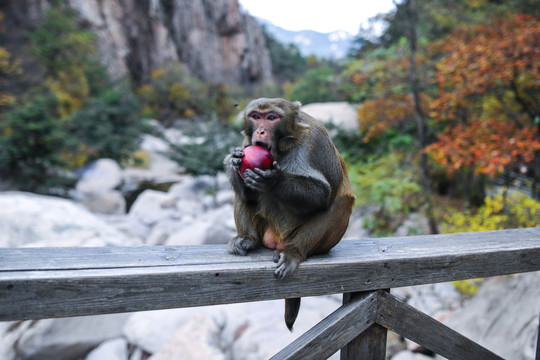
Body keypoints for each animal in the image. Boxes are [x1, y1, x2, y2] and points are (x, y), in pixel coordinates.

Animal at [223, 97, 354, 330]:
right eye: (255, 116)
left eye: (271, 117)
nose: (261, 131)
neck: (284, 145)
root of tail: (277, 240)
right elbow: (246, 191)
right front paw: (234, 161)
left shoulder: (315, 140)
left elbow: (323, 192)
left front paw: (274, 181)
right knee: (244, 196)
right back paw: (247, 239)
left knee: (341, 202)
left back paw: (294, 251)